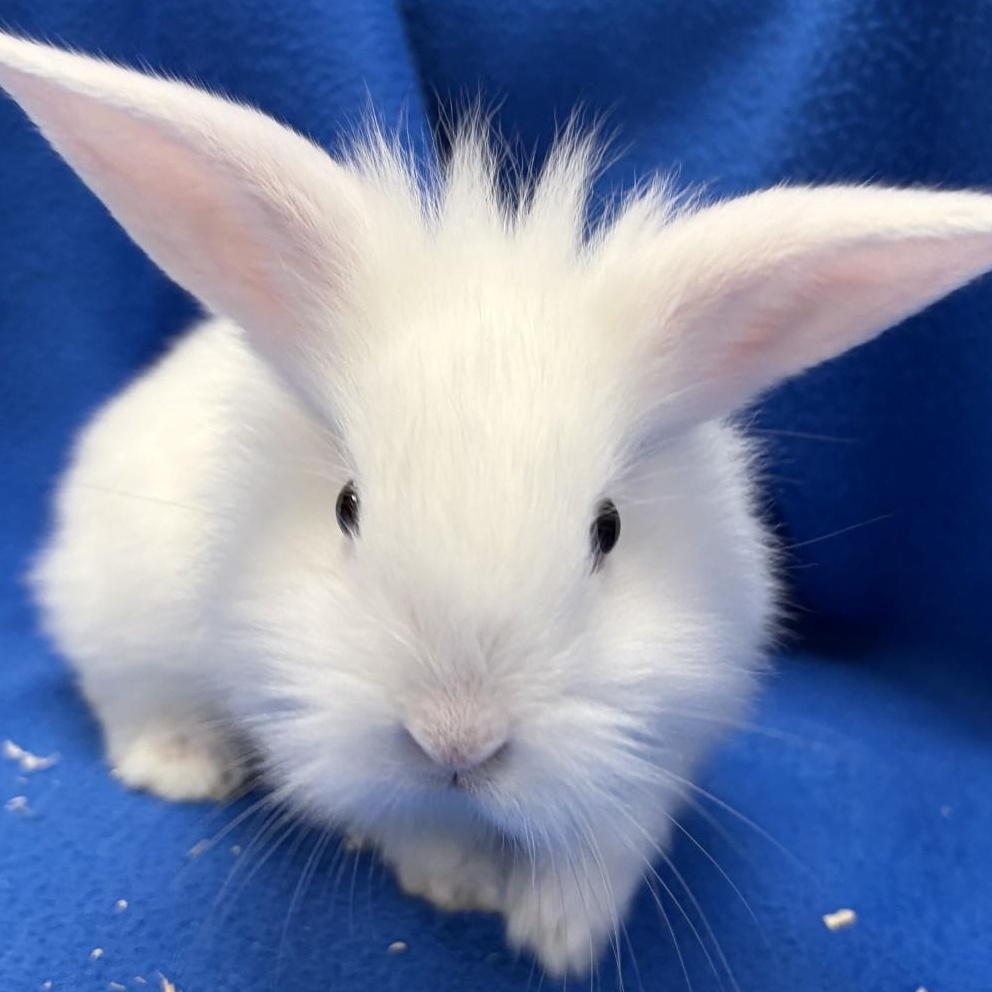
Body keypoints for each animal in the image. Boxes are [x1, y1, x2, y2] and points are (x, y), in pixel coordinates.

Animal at [4, 30, 992, 977]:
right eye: (347, 506)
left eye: (608, 529)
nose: (456, 741)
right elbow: (406, 818)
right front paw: (463, 884)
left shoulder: (666, 728)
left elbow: (612, 843)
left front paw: (560, 935)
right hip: (121, 616)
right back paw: (185, 768)